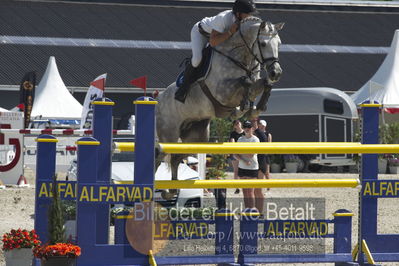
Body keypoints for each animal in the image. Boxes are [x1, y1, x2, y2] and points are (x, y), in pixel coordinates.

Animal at [155, 17, 284, 200]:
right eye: (263, 43)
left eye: (279, 44)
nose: (276, 72)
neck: (240, 58)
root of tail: (158, 99)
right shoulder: (223, 91)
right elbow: (245, 82)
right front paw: (244, 106)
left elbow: (262, 84)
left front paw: (254, 107)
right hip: (169, 135)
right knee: (159, 157)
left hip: (197, 137)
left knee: (175, 159)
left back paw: (171, 191)